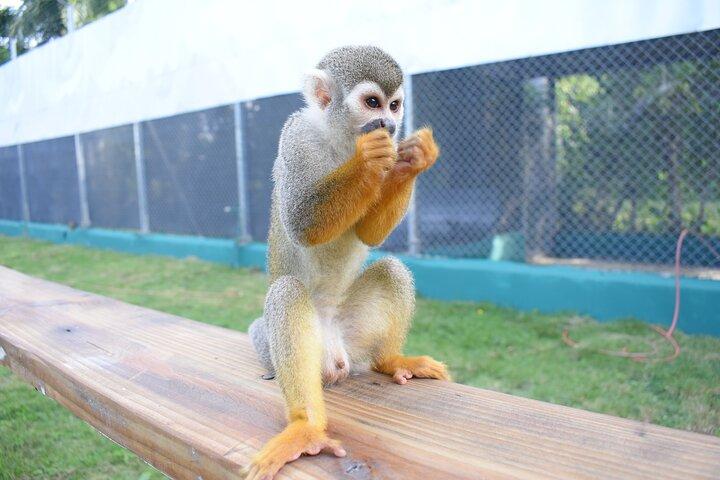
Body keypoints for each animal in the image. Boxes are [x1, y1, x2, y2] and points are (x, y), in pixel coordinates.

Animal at [244, 46, 449, 480]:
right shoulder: (296, 136)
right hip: (295, 347)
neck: (340, 140)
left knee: (391, 270)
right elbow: (302, 224)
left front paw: (414, 159)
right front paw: (368, 157)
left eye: (394, 105)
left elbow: (371, 235)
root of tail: (336, 352)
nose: (389, 124)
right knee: (285, 295)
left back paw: (391, 360)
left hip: (354, 342)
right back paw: (305, 427)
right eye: (372, 103)